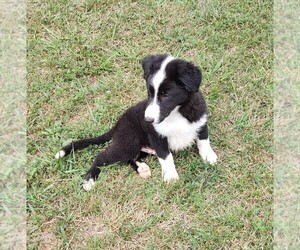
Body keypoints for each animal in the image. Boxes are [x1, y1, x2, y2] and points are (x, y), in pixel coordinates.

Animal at [55, 55, 217, 191]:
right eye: (149, 92)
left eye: (166, 94)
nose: (148, 120)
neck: (176, 113)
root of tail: (118, 124)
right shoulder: (156, 136)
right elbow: (166, 157)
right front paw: (171, 177)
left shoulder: (200, 121)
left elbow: (204, 141)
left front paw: (209, 158)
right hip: (128, 143)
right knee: (102, 156)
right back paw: (89, 180)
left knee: (131, 158)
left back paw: (142, 169)